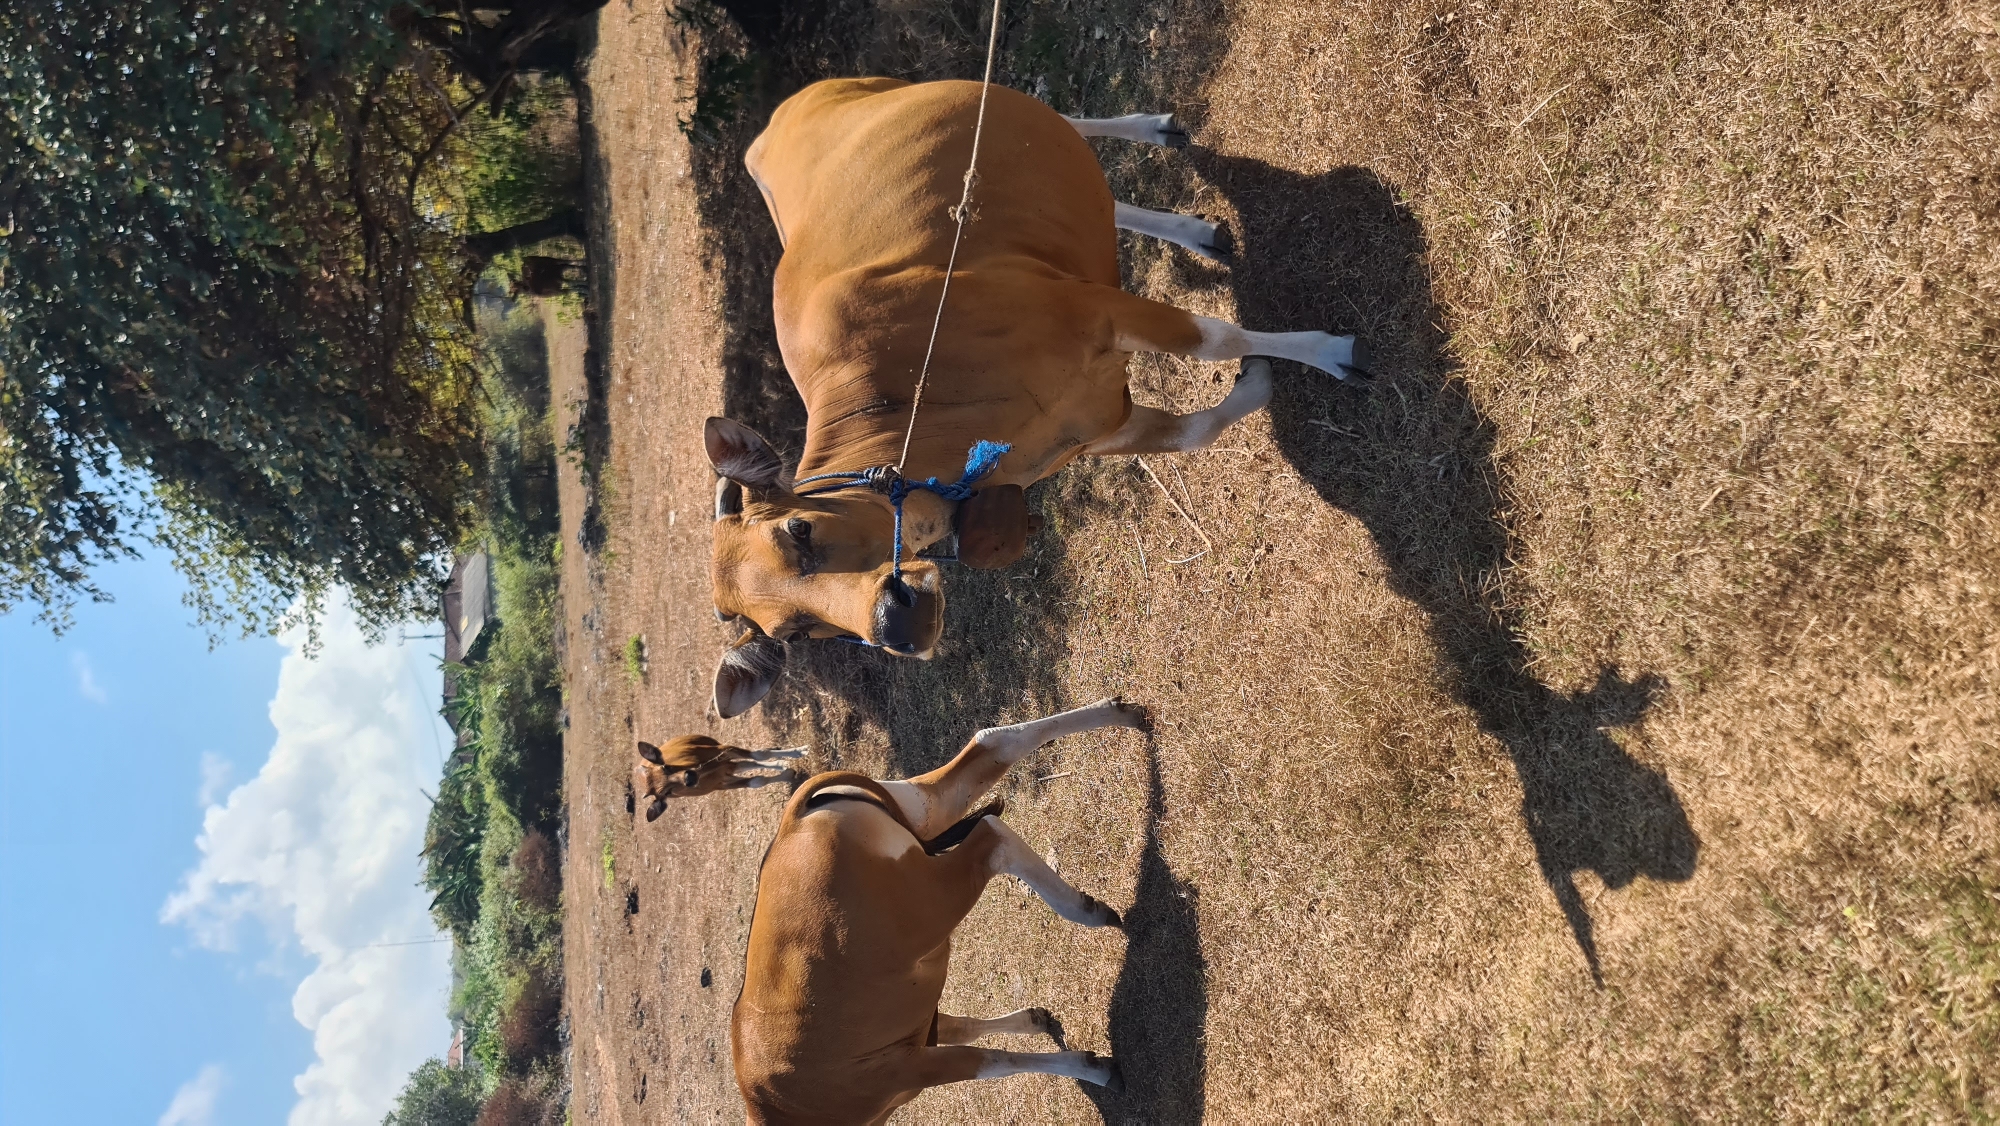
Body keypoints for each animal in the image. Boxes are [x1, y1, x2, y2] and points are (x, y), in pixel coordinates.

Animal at [634, 736, 808, 819]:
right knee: (747, 764)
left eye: (666, 766)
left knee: (752, 760)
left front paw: (799, 751)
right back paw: (781, 765)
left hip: (723, 759)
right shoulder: (721, 784)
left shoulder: (723, 750)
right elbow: (757, 781)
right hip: (728, 768)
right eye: (667, 793)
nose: (689, 778)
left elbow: (760, 754)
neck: (703, 772)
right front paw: (787, 773)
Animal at [708, 77, 1371, 717]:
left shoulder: (1095, 311)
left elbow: (1217, 339)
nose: (895, 624)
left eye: (799, 530)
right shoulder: (1095, 427)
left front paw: (1331, 351)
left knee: (1064, 119)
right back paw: (1196, 230)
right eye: (794, 633)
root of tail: (768, 131)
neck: (907, 405)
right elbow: (1196, 431)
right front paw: (1259, 382)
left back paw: (1154, 130)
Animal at [732, 696, 1146, 1122]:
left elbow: (995, 1062)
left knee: (991, 837)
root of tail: (792, 824)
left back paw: (1084, 910)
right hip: (919, 812)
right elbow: (967, 1029)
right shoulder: (921, 1029)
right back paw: (1122, 714)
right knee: (990, 745)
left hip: (931, 907)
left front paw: (1093, 1069)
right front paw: (1034, 1021)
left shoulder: (907, 1068)